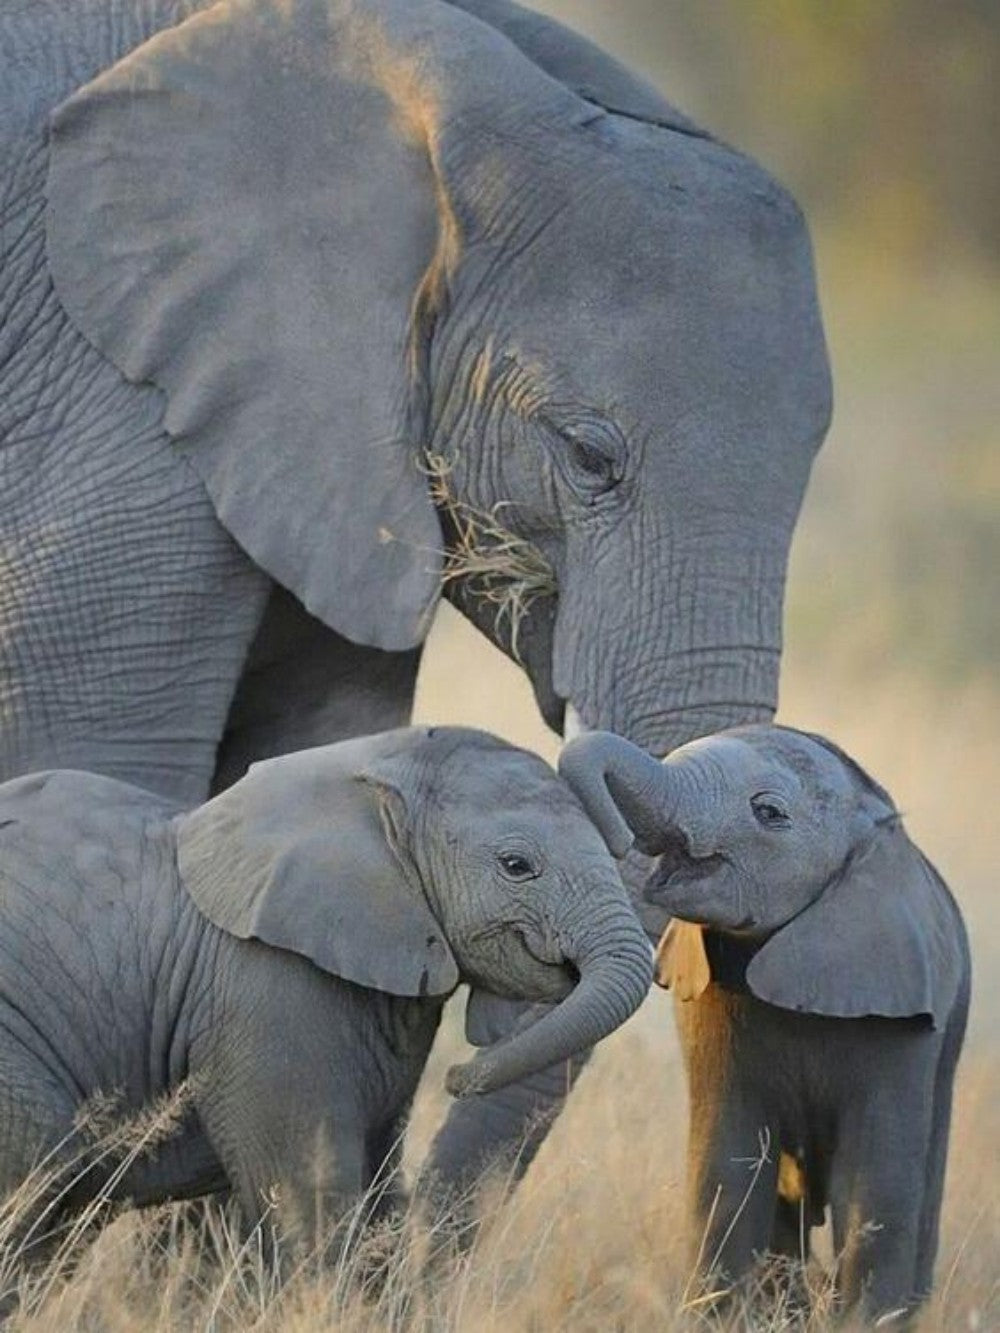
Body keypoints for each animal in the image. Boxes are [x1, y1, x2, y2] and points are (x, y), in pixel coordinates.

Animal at [0, 726, 652, 1259]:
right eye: (517, 866)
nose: (457, 1076)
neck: (371, 767)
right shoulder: (268, 994)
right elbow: (312, 1198)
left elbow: (379, 1185)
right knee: (42, 1175)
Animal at [559, 725, 970, 1322]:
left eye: (769, 813)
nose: (614, 842)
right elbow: (727, 1167)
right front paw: (722, 1318)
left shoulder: (902, 1016)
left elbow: (875, 1185)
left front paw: (865, 1321)